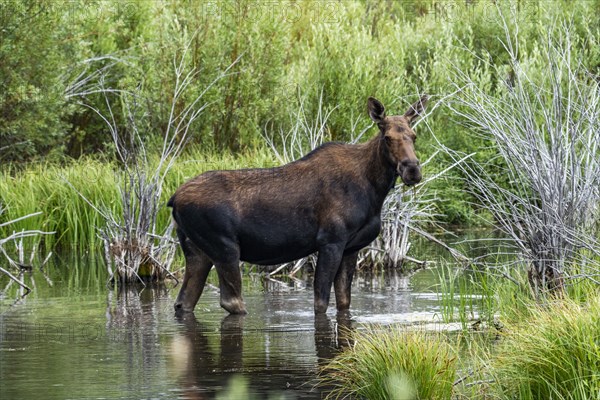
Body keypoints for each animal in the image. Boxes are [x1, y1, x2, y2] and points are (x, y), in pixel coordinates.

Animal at [169, 95, 428, 314]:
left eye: (414, 136)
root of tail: (173, 200)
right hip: (225, 247)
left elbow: (344, 302)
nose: (412, 169)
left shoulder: (352, 247)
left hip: (197, 250)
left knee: (183, 302)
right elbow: (321, 301)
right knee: (231, 300)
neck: (375, 190)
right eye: (387, 137)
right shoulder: (331, 241)